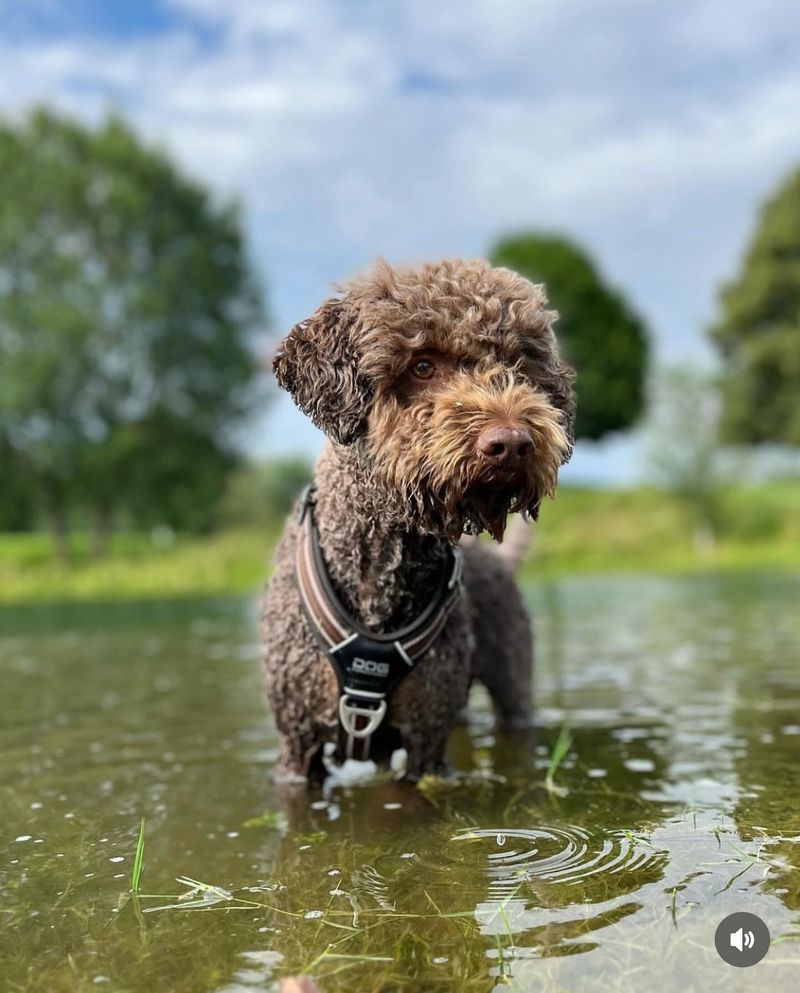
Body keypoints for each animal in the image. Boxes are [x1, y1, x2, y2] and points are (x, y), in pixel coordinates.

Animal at [262, 258, 576, 784]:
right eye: (422, 365)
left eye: (518, 364)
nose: (512, 443)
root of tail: (499, 562)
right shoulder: (297, 745)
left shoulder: (427, 742)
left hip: (511, 686)